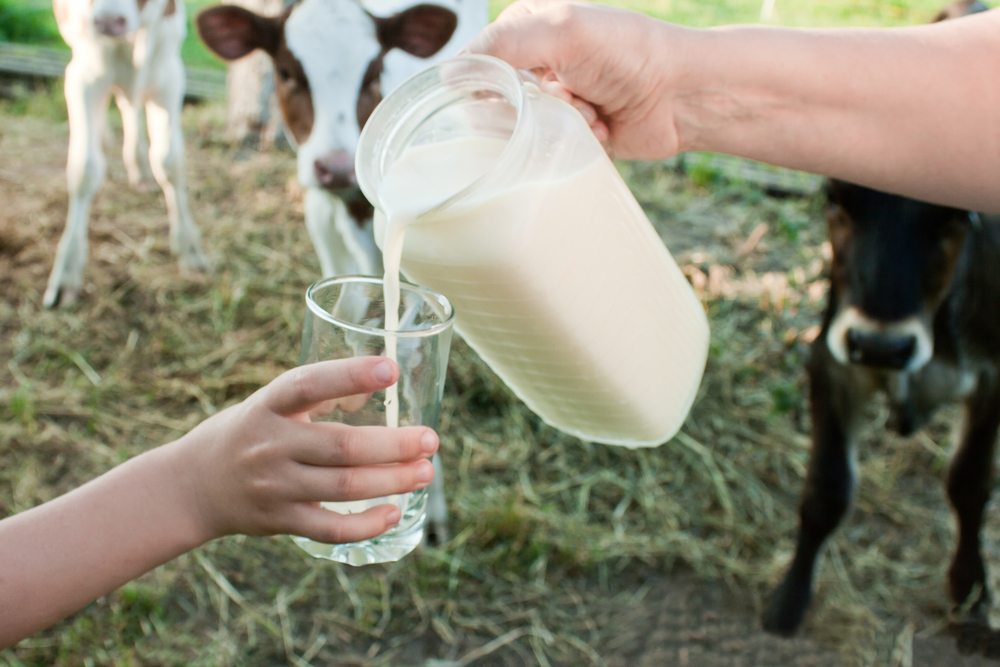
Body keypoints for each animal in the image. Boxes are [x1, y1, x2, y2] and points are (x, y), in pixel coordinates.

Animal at [49, 0, 210, 310]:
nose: (108, 22)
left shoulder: (169, 75)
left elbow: (169, 161)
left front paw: (189, 247)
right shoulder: (83, 77)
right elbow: (85, 168)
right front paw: (67, 270)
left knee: (129, 106)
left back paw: (141, 170)